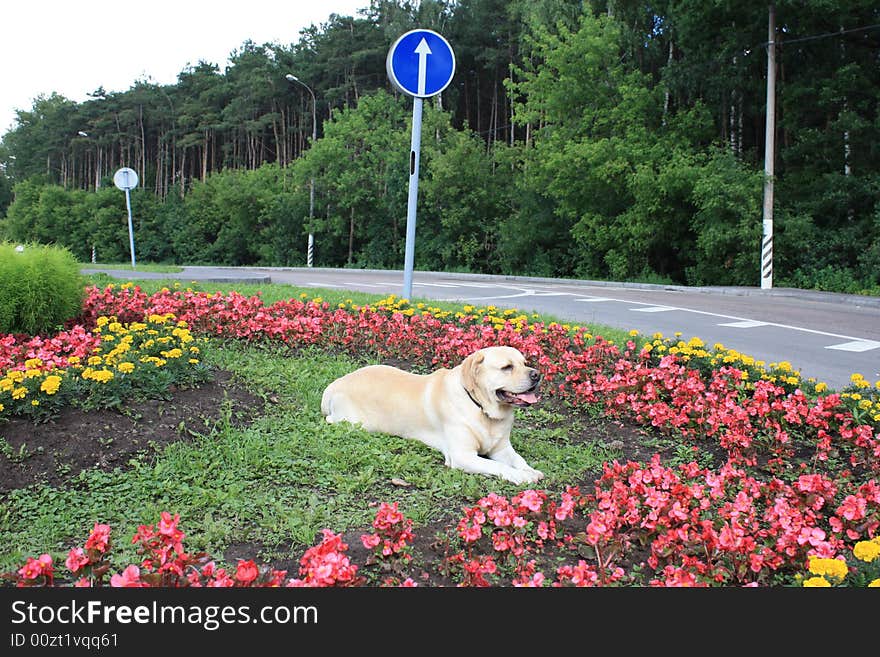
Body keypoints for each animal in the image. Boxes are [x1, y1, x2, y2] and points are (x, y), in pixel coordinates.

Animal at [322, 346, 544, 484]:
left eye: (525, 362)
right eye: (507, 367)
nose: (537, 374)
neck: (481, 408)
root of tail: (335, 383)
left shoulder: (502, 449)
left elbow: (518, 459)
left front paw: (529, 470)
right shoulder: (462, 456)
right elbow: (497, 466)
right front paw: (520, 476)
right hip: (354, 422)